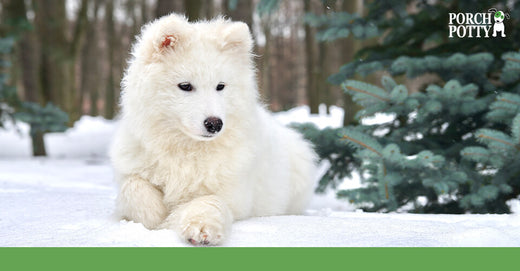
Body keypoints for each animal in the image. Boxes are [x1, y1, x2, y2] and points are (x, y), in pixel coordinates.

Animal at [110, 13, 316, 246]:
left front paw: (199, 228)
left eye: (220, 86)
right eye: (185, 86)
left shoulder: (232, 194)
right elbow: (133, 188)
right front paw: (157, 217)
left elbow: (208, 201)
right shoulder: (130, 171)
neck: (186, 150)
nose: (215, 124)